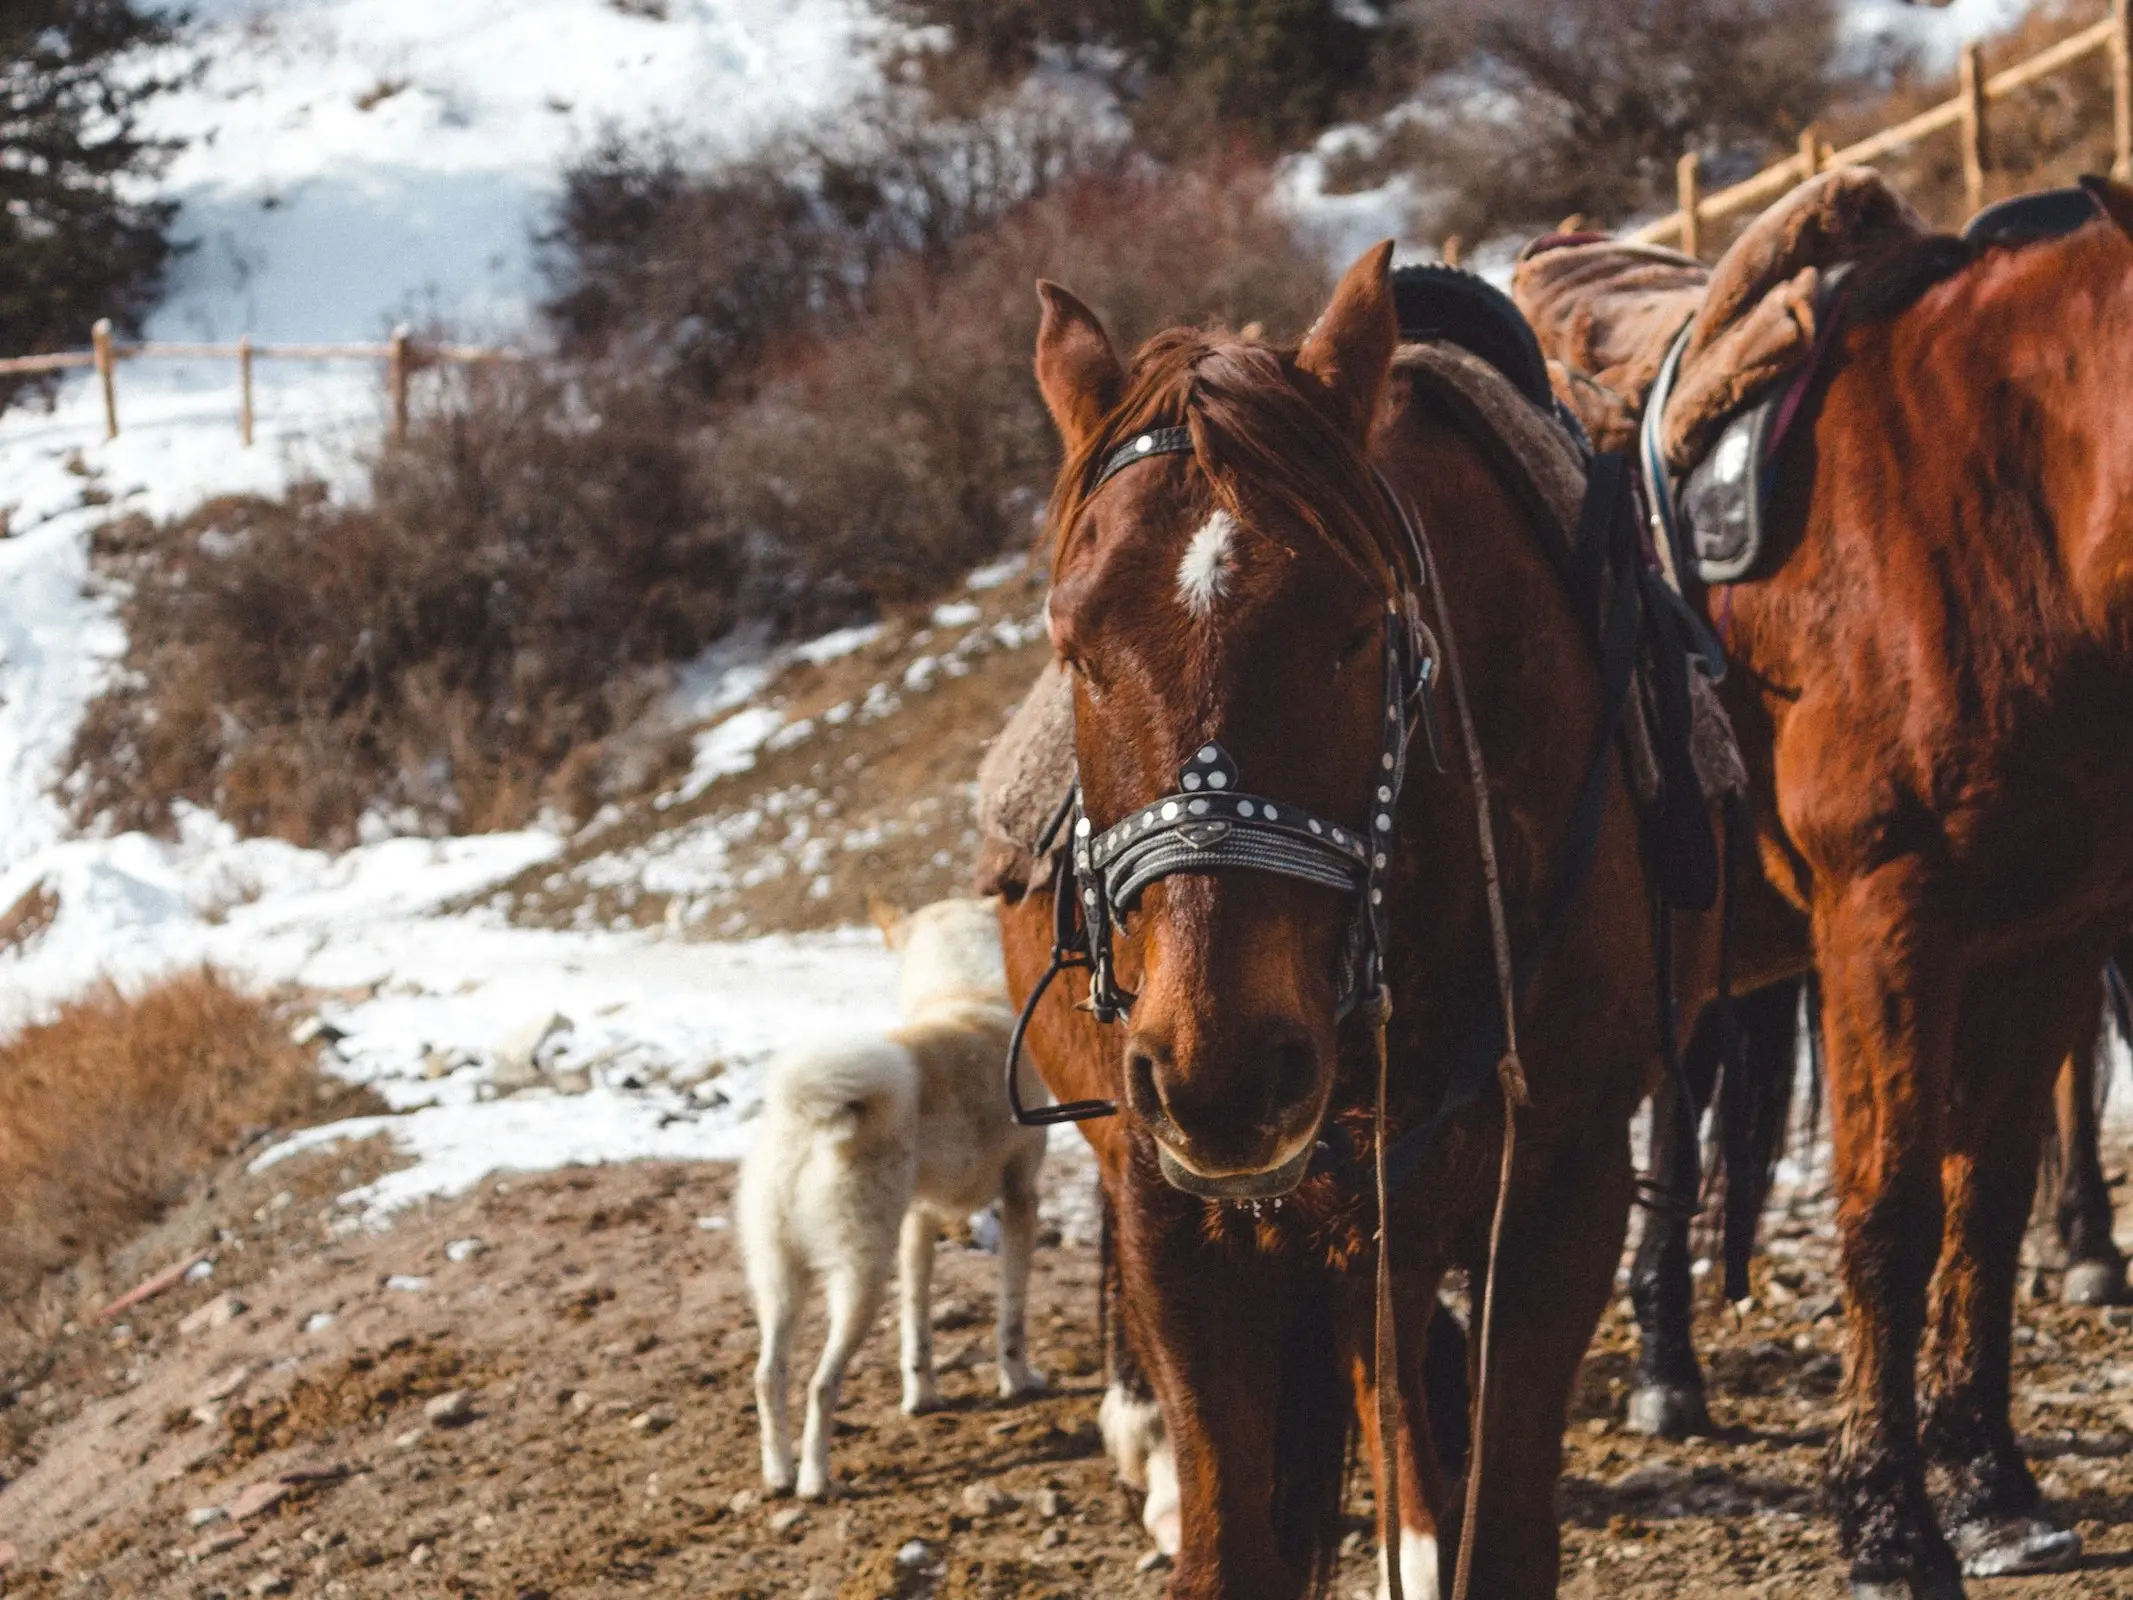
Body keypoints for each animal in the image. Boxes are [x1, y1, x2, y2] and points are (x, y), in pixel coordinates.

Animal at [738, 904, 1053, 1501]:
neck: (962, 990)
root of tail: (809, 1115)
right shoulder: (1020, 1199)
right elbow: (1013, 1318)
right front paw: (1018, 1381)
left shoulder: (919, 1223)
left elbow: (917, 1330)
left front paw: (922, 1398)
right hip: (859, 1277)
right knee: (820, 1384)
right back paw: (814, 1481)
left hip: (781, 1279)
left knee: (768, 1375)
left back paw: (778, 1473)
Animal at [998, 244, 1714, 1595]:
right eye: (1075, 644)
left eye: (1354, 628)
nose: (1222, 1071)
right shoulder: (1181, 1210)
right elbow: (1230, 1545)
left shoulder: (1560, 1186)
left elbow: (1496, 1527)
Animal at [1544, 181, 2133, 1595]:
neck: (2021, 497)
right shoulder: (1889, 914)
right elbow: (1891, 1211)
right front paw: (1886, 1519)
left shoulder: (2052, 928)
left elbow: (1986, 1194)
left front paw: (1989, 1482)